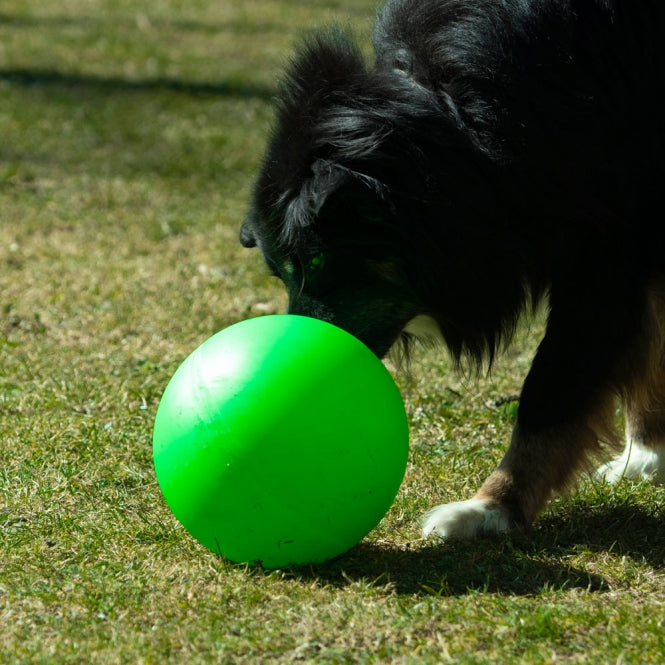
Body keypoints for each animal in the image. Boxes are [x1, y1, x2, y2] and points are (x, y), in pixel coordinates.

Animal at [240, 0, 664, 540]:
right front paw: (647, 454)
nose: (295, 361)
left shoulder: (607, 251)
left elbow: (552, 384)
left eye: (314, 260)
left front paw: (489, 509)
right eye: (282, 273)